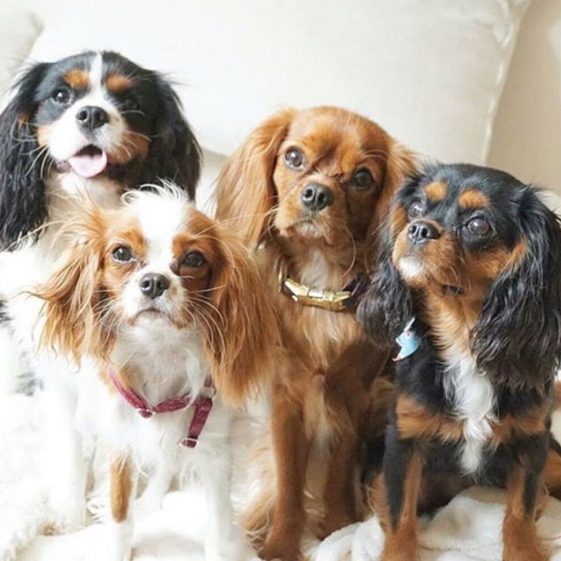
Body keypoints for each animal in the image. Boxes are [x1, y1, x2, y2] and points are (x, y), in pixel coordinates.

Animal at [358, 162, 560, 560]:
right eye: (416, 208)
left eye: (478, 225)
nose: (418, 228)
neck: (463, 335)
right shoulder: (403, 441)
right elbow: (400, 513)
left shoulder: (534, 440)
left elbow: (521, 509)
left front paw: (524, 548)